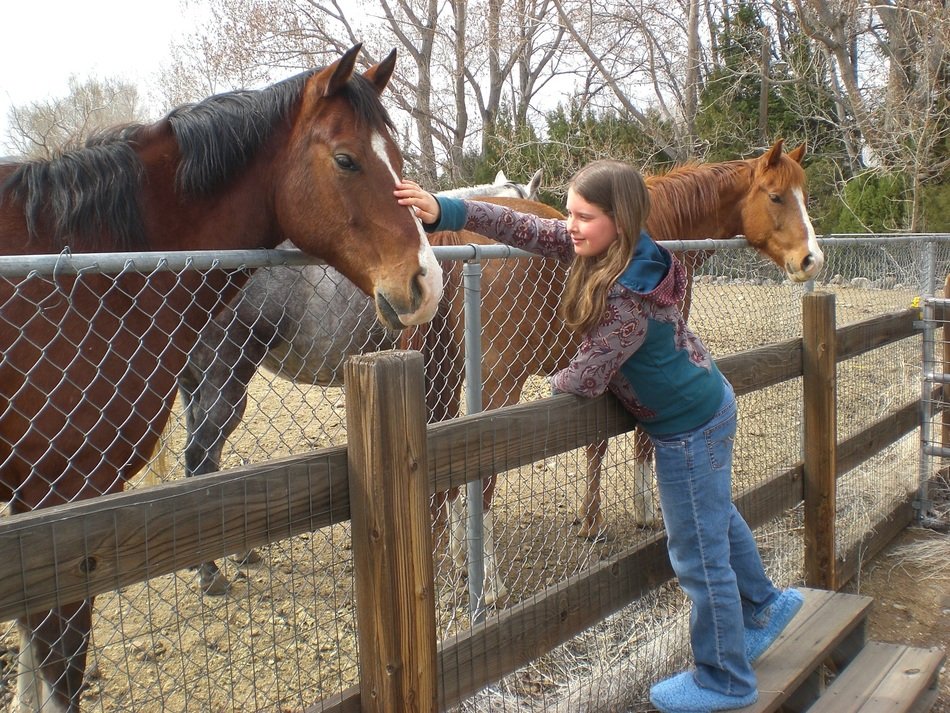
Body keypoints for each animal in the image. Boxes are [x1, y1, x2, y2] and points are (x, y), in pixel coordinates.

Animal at [0, 44, 442, 712]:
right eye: (347, 159)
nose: (427, 282)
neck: (81, 274)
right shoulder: (61, 508)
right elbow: (60, 667)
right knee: (201, 458)